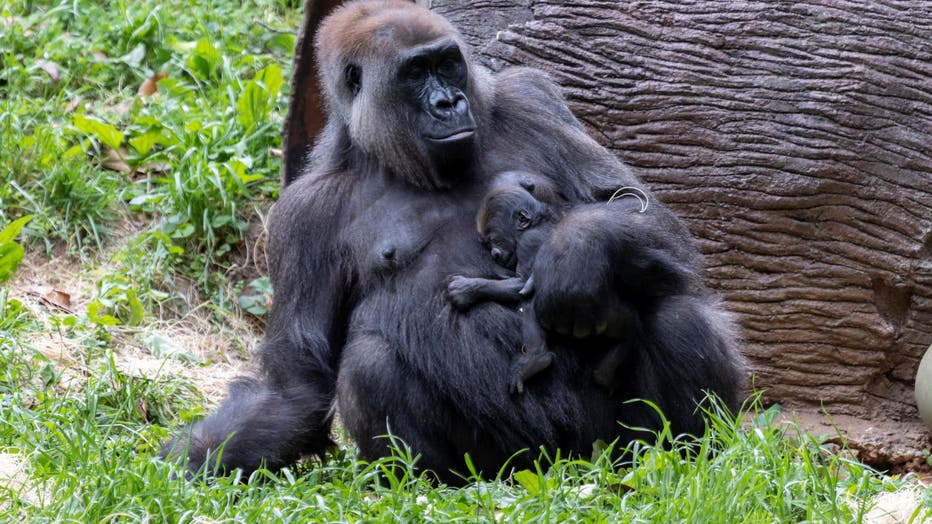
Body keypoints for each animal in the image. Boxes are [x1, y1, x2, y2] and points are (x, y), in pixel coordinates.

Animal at [444, 172, 632, 392]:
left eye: (494, 240)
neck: (537, 221)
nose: (494, 255)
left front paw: (467, 288)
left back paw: (536, 359)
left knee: (530, 303)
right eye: (487, 244)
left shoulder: (528, 242)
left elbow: (523, 284)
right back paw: (609, 367)